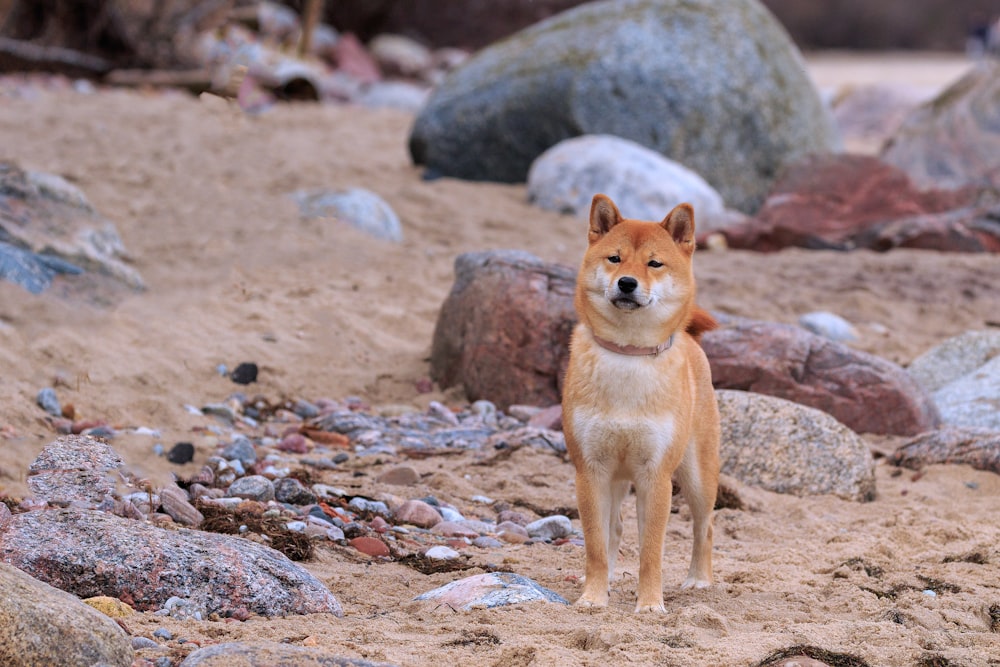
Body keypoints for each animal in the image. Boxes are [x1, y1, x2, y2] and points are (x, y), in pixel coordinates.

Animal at [564, 193, 720, 616]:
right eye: (614, 259)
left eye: (654, 263)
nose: (627, 283)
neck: (628, 355)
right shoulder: (591, 470)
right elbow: (596, 544)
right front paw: (593, 595)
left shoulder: (656, 475)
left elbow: (652, 549)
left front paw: (650, 604)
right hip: (617, 479)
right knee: (614, 530)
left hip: (698, 477)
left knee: (705, 526)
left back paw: (699, 580)